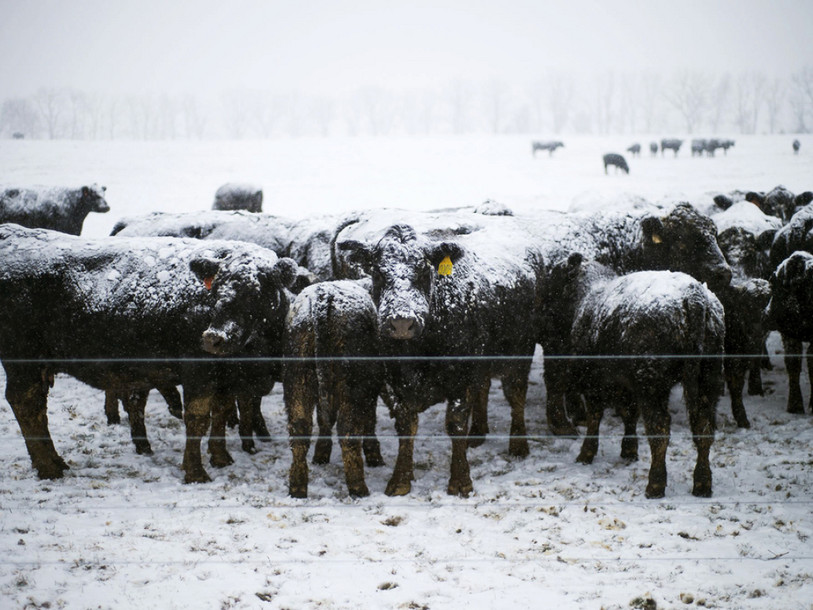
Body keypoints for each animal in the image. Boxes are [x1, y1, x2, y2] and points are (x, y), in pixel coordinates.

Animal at [0, 224, 298, 482]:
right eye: (217, 289)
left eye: (257, 291)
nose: (214, 338)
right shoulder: (197, 371)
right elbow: (197, 418)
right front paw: (195, 472)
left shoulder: (225, 377)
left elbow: (221, 414)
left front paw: (221, 457)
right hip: (22, 362)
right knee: (26, 404)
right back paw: (49, 467)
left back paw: (55, 462)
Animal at [284, 280, 384, 498]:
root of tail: (324, 296)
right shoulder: (371, 388)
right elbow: (369, 420)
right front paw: (374, 455)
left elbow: (324, 419)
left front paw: (321, 453)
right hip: (353, 385)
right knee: (348, 432)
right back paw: (358, 487)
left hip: (298, 379)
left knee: (300, 429)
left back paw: (297, 487)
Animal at [337, 223, 539, 497]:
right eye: (378, 272)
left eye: (424, 270)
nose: (402, 322)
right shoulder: (394, 381)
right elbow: (406, 425)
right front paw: (401, 479)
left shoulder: (462, 376)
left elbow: (455, 424)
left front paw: (460, 481)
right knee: (484, 388)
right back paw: (478, 433)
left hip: (519, 353)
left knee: (516, 395)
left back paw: (518, 445)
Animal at [539, 254, 724, 498]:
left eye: (554, 279)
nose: (542, 312)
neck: (589, 294)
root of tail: (693, 296)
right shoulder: (626, 383)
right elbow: (629, 413)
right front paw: (629, 450)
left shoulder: (594, 381)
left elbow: (595, 416)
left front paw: (587, 453)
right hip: (708, 379)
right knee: (703, 428)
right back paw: (702, 484)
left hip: (653, 385)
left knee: (660, 429)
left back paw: (655, 484)